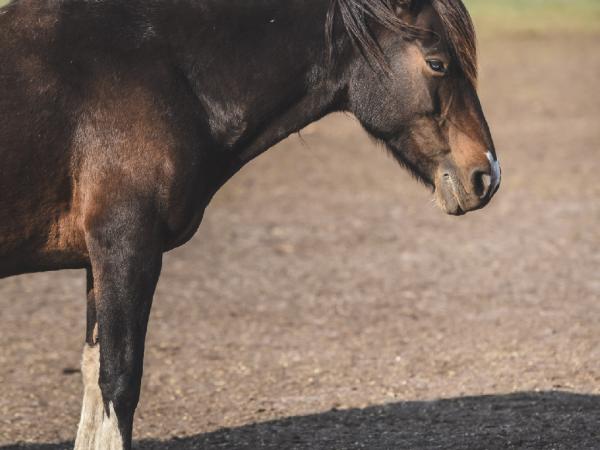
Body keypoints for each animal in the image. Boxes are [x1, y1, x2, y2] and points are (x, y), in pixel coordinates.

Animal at [0, 0, 502, 448]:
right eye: (437, 63)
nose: (487, 174)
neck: (160, 70)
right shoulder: (126, 249)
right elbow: (118, 382)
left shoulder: (99, 258)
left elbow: (93, 373)